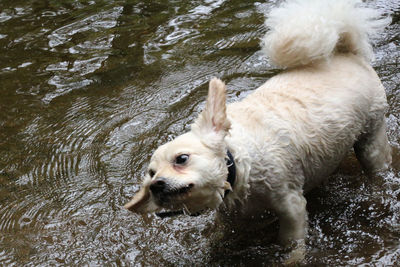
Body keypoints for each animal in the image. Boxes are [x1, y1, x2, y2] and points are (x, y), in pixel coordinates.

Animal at [124, 0, 390, 253]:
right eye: (151, 174)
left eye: (181, 159)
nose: (156, 185)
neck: (240, 166)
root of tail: (346, 53)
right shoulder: (231, 216)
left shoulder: (291, 205)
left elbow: (291, 242)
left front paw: (291, 259)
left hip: (372, 139)